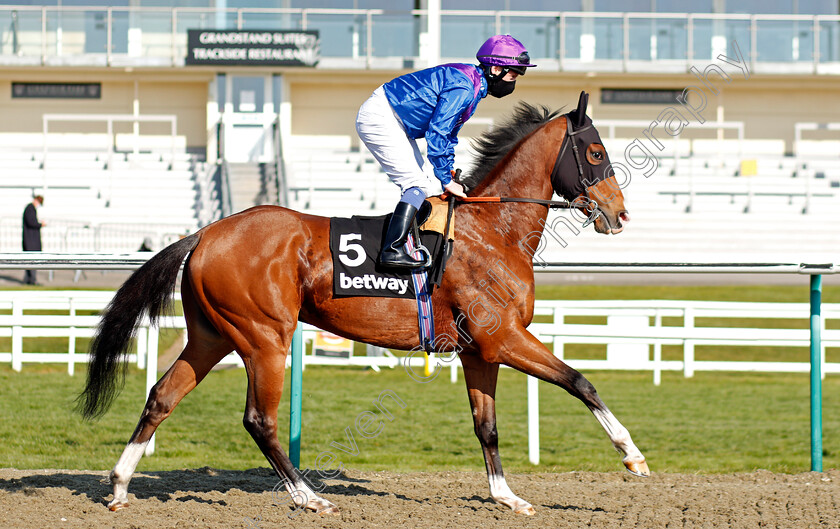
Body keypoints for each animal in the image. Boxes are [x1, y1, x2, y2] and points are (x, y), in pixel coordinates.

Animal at [77, 92, 644, 516]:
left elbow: (487, 426)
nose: (620, 214)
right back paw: (309, 497)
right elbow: (581, 382)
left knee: (161, 396)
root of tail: (206, 232)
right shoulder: (503, 337)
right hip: (265, 338)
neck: (493, 231)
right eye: (596, 153)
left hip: (212, 336)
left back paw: (120, 485)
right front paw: (632, 455)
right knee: (259, 419)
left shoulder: (478, 350)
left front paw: (507, 497)